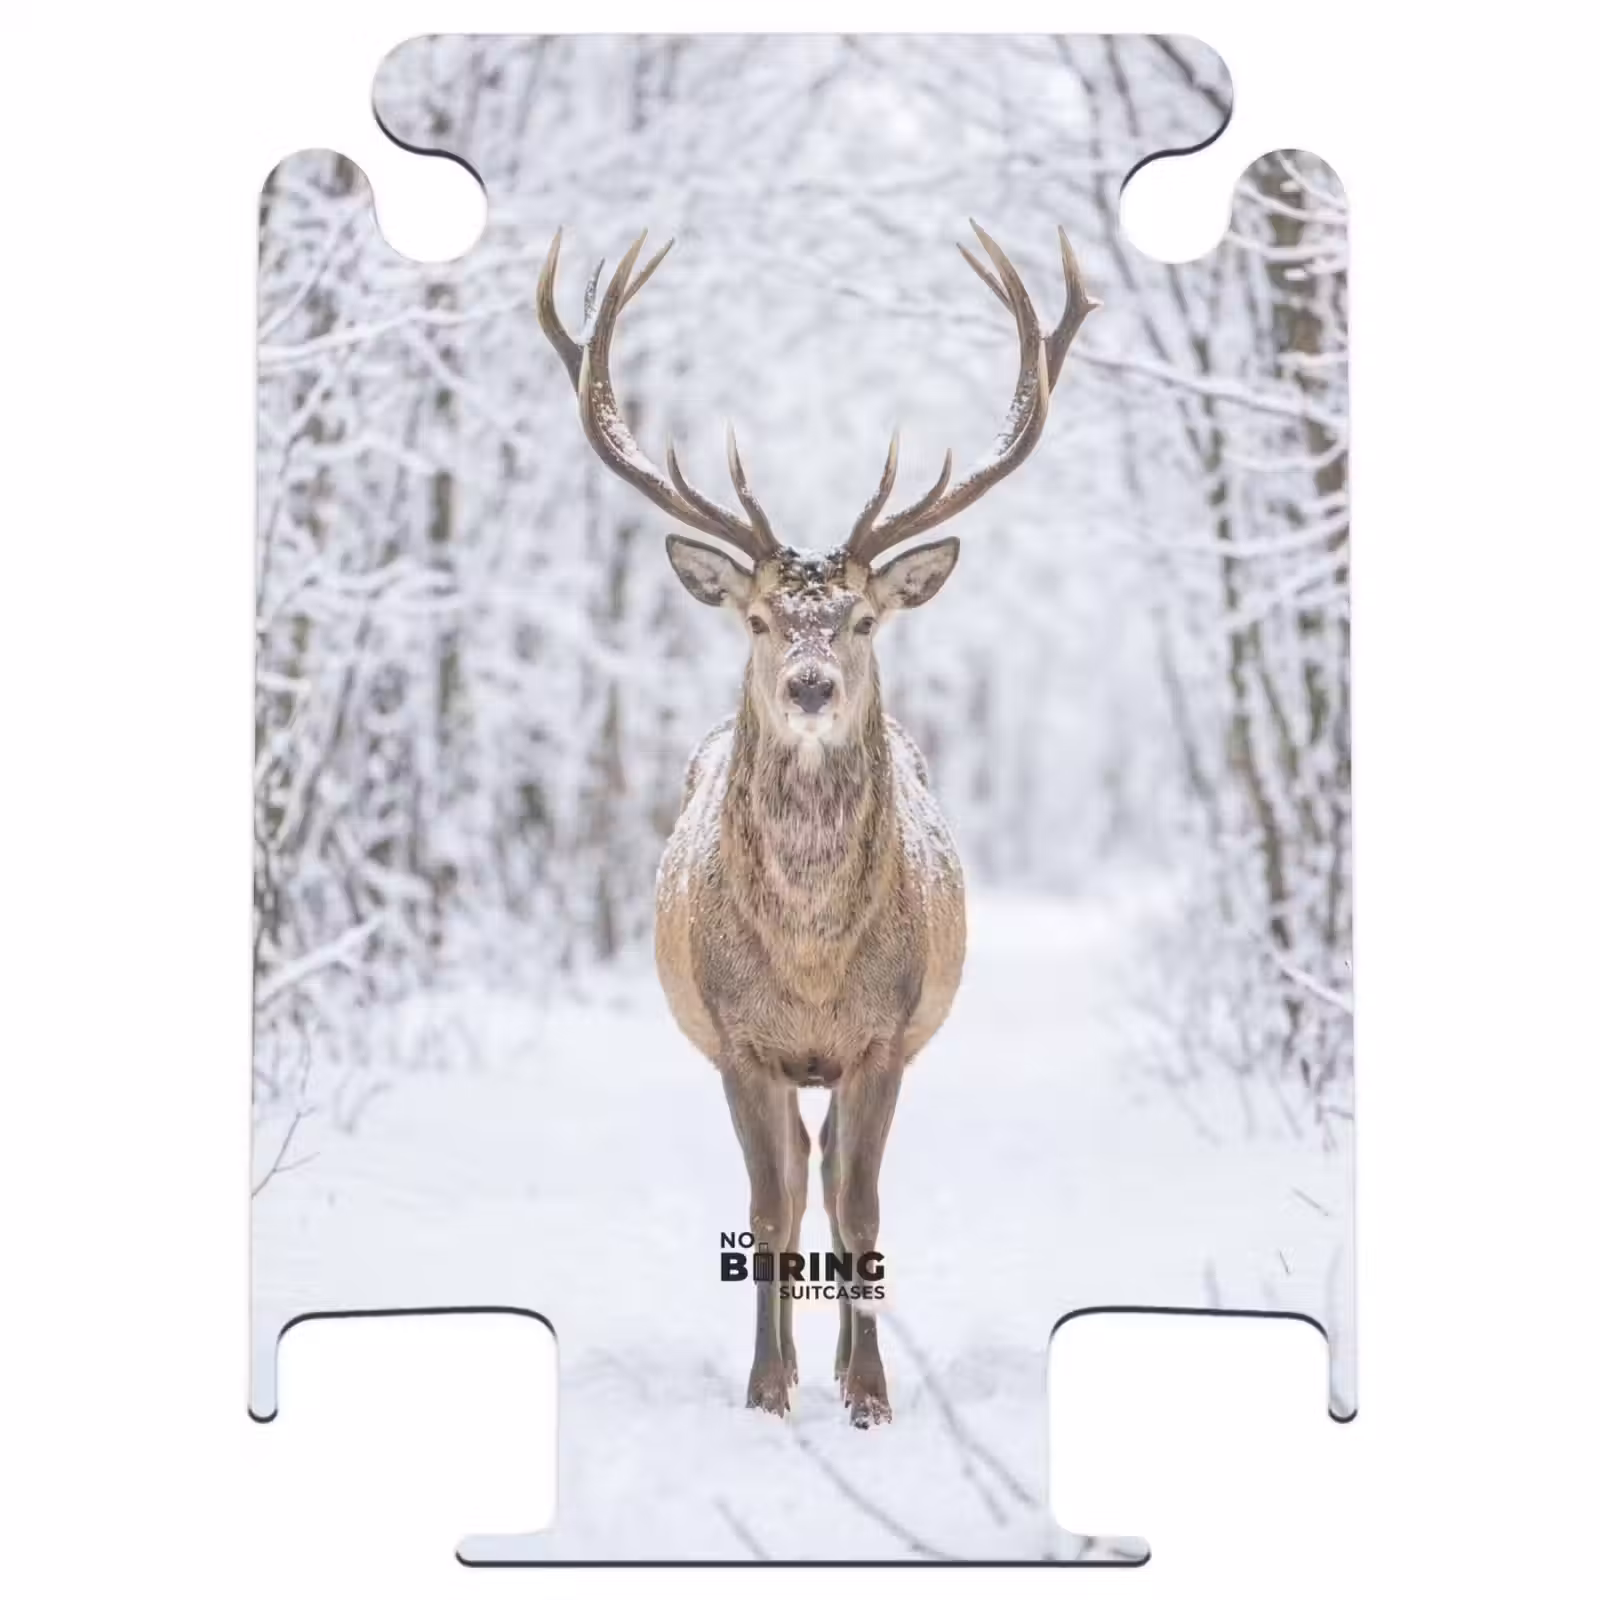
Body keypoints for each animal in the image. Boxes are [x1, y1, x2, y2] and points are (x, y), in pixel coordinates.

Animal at [536, 221, 1096, 1425]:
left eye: (862, 617)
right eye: (757, 616)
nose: (807, 684)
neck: (807, 964)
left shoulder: (883, 1034)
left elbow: (862, 1207)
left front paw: (869, 1396)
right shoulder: (738, 1038)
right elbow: (770, 1209)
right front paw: (766, 1391)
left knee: (836, 1176)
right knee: (797, 1180)